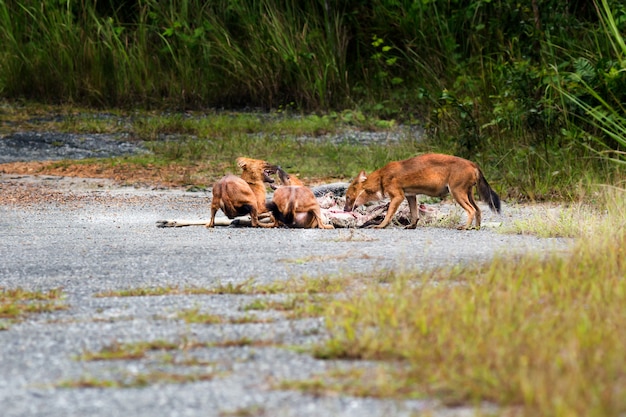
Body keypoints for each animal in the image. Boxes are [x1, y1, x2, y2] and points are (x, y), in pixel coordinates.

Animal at [344, 154, 500, 229]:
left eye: (347, 197)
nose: (345, 210)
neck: (381, 177)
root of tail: (472, 163)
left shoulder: (398, 196)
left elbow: (388, 214)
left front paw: (380, 226)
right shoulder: (410, 196)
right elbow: (415, 215)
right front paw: (411, 226)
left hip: (457, 193)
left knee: (471, 210)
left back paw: (465, 227)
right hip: (468, 194)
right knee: (478, 210)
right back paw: (476, 228)